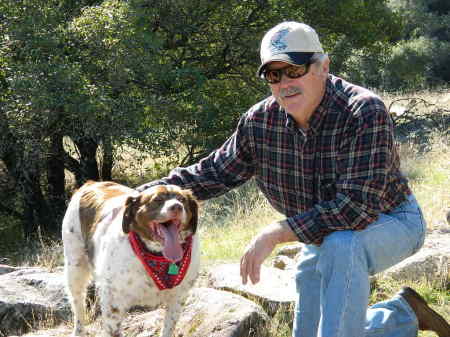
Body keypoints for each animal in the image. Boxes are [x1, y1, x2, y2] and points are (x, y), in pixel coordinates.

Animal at [62, 181, 200, 336]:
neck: (157, 255)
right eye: (157, 199)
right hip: (75, 269)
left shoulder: (177, 298)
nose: (177, 206)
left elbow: (168, 328)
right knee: (78, 306)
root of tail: (91, 183)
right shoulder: (113, 305)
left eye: (182, 200)